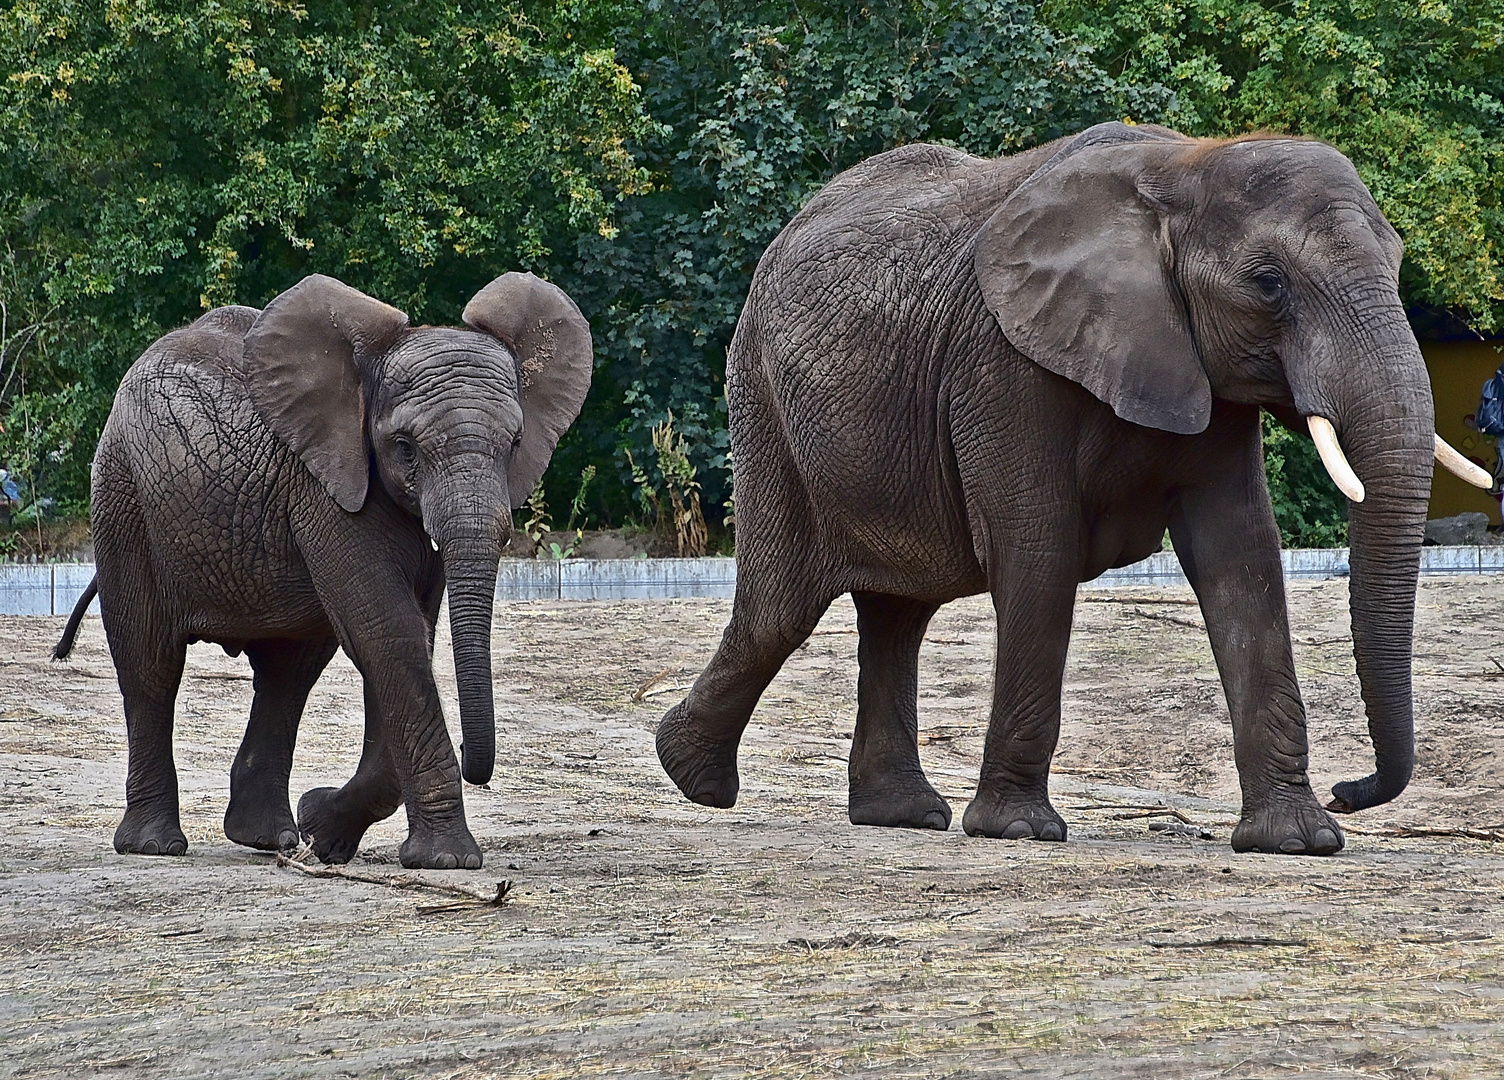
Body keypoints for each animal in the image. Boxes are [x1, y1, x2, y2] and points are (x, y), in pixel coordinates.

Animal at [51, 272, 586, 872]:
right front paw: (446, 862)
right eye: (404, 448)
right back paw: (155, 846)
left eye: (515, 443)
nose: (476, 754)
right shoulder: (324, 489)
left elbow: (406, 638)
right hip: (123, 499)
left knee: (288, 672)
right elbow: (388, 633)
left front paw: (324, 833)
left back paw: (270, 839)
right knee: (150, 663)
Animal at [658, 122, 1491, 860]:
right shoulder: (1003, 361)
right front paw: (1018, 831)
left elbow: (1244, 561)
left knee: (897, 614)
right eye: (1268, 284)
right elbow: (1039, 552)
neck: (1183, 166)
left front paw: (1299, 840)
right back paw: (691, 777)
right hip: (764, 405)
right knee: (780, 609)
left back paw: (899, 815)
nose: (1353, 792)